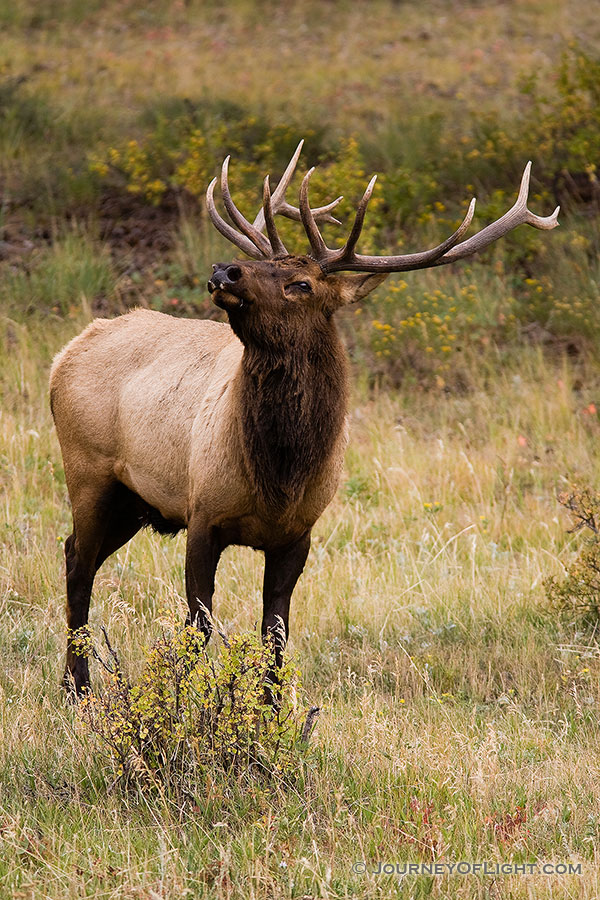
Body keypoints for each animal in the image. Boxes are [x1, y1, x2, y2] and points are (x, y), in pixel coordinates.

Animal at [49, 144, 560, 696]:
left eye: (301, 283)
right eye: (265, 263)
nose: (226, 270)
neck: (279, 477)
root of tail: (65, 353)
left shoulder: (298, 534)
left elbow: (275, 634)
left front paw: (270, 710)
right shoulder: (202, 512)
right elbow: (197, 627)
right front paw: (177, 700)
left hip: (134, 502)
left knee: (78, 553)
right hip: (89, 471)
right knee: (78, 562)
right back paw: (77, 688)